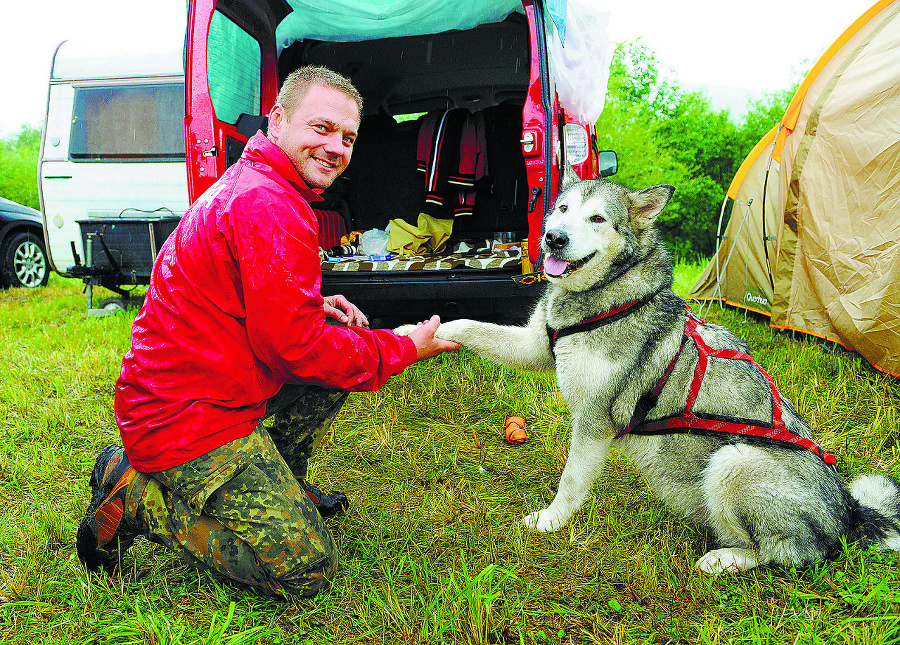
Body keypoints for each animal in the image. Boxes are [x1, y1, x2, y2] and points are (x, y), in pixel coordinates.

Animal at [398, 169, 900, 572]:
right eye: (562, 209)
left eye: (598, 219)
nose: (554, 237)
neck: (606, 296)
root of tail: (849, 512)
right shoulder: (536, 346)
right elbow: (469, 326)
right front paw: (413, 333)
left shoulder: (594, 421)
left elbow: (571, 481)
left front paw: (552, 521)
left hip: (734, 463)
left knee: (790, 553)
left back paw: (726, 559)